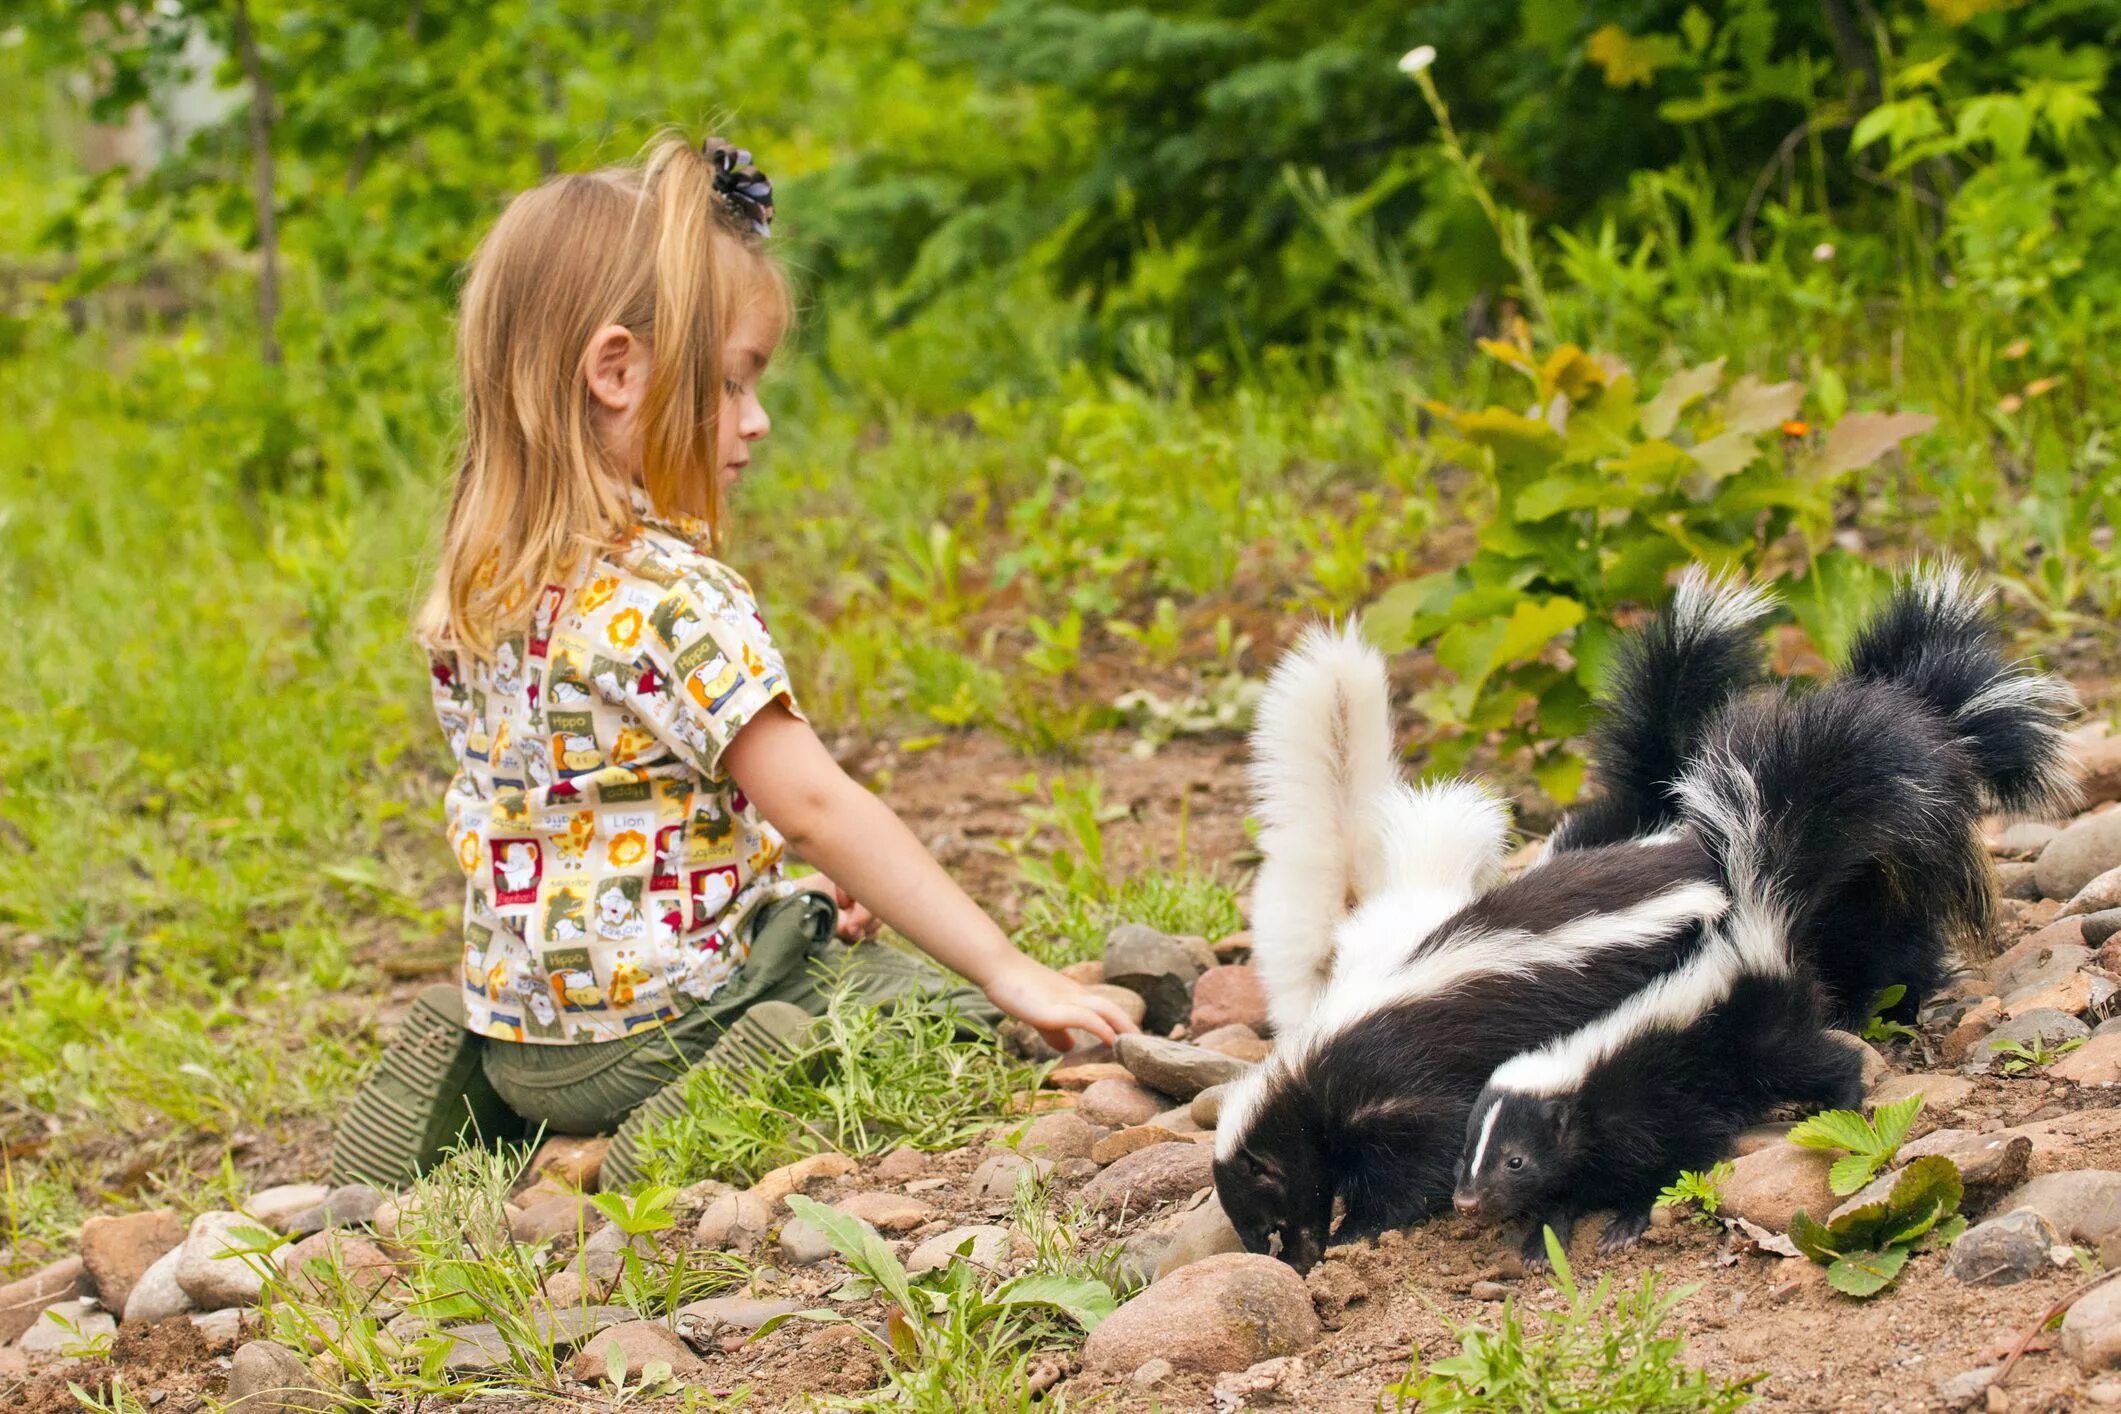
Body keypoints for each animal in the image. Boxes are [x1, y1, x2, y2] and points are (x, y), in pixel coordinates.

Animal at [1450, 563, 2078, 1263]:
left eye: (1514, 1160)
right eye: (1468, 1153)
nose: (1465, 1201)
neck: (1583, 1072)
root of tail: (1756, 915)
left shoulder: (1659, 1100)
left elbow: (1669, 1159)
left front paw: (1625, 1222)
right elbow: (1578, 1179)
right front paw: (1545, 1234)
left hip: (1767, 1037)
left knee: (1823, 1059)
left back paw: (1843, 1099)